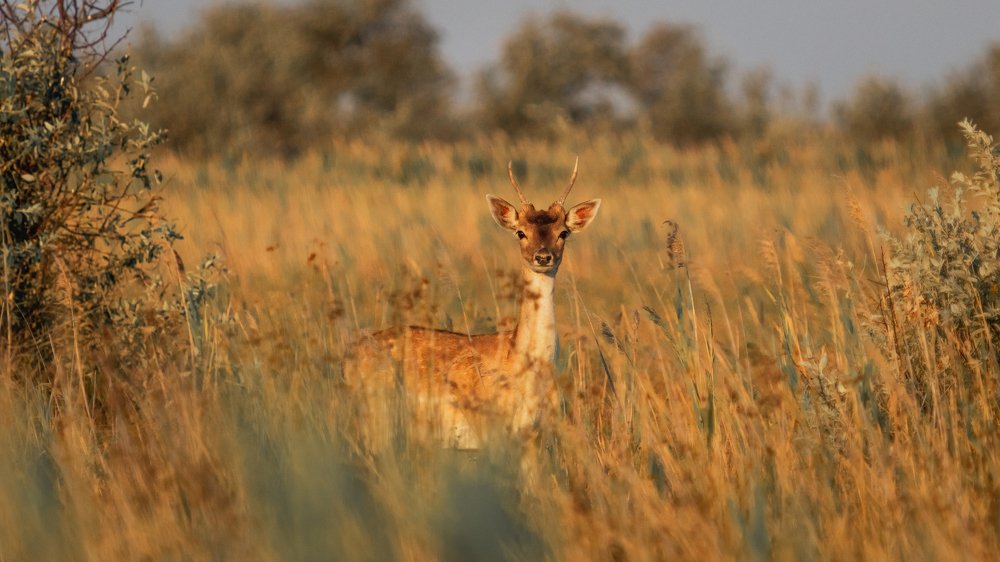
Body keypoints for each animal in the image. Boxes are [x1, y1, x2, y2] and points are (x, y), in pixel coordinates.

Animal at [352, 159, 601, 449]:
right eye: (520, 232)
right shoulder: (487, 430)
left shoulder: (535, 435)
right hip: (376, 419)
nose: (542, 256)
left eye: (564, 232)